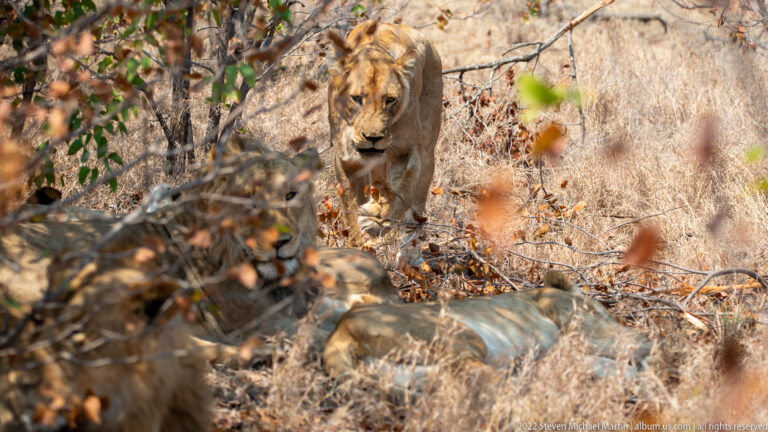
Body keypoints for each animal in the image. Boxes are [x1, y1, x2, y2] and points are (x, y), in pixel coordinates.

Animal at [323, 272, 651, 380]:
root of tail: (342, 326)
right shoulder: (581, 325)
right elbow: (635, 344)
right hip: (464, 336)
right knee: (484, 376)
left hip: (406, 374)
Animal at [328, 20, 443, 254]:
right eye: (356, 98)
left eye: (390, 100)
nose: (373, 137)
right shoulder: (346, 160)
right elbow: (351, 206)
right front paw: (359, 246)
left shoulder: (408, 151)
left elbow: (402, 192)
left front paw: (375, 221)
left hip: (427, 148)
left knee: (414, 211)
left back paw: (410, 256)